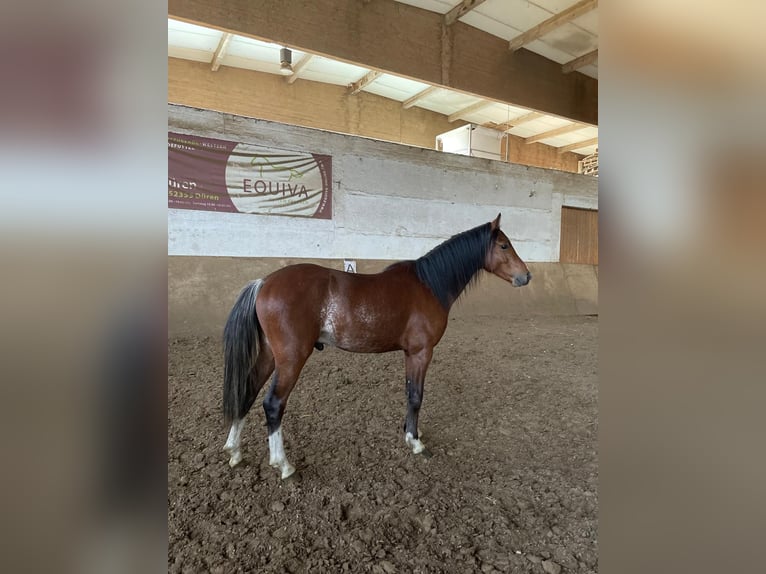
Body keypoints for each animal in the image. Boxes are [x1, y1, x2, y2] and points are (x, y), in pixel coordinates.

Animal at [225, 214, 532, 480]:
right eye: (504, 245)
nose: (526, 276)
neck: (428, 285)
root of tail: (264, 283)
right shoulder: (422, 353)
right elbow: (416, 396)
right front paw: (415, 442)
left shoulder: (410, 354)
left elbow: (409, 393)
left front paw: (410, 431)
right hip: (291, 359)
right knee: (273, 404)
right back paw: (283, 465)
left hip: (269, 356)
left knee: (247, 391)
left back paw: (234, 451)